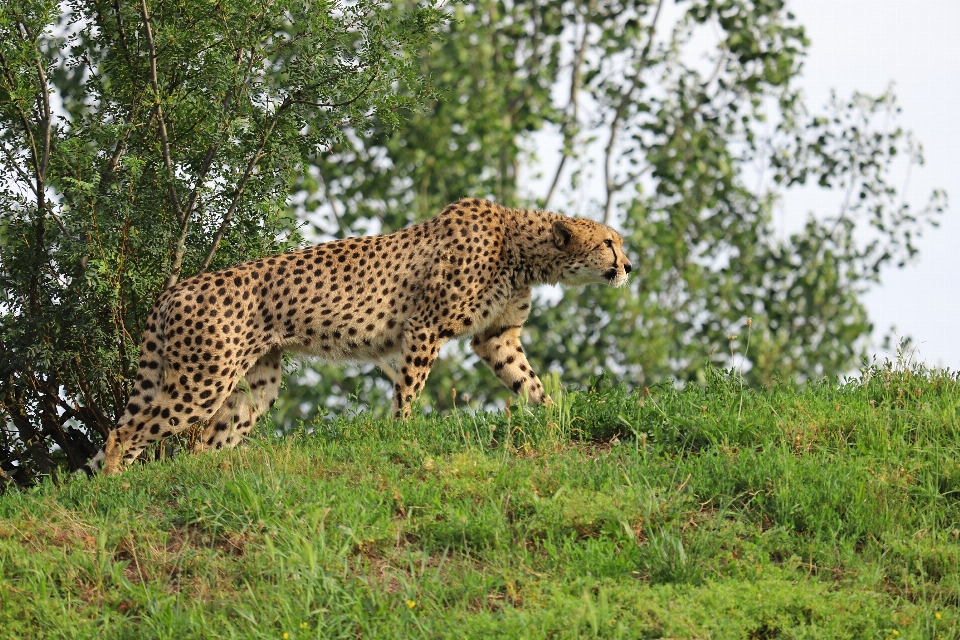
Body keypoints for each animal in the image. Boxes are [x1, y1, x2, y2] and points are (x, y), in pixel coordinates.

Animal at [86, 200, 632, 476]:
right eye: (609, 243)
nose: (629, 266)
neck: (522, 248)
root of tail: (177, 287)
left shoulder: (496, 337)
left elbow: (528, 382)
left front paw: (556, 416)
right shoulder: (424, 327)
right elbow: (408, 391)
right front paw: (401, 433)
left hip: (256, 384)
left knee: (203, 441)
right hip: (203, 379)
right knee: (125, 431)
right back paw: (113, 487)